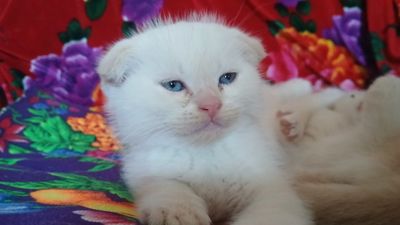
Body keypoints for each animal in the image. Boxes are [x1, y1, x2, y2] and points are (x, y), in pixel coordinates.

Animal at [97, 15, 312, 225]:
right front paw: (179, 211)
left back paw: (292, 120)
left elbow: (270, 213)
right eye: (173, 85)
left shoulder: (272, 186)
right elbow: (164, 184)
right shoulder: (144, 167)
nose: (211, 104)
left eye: (227, 78)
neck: (206, 152)